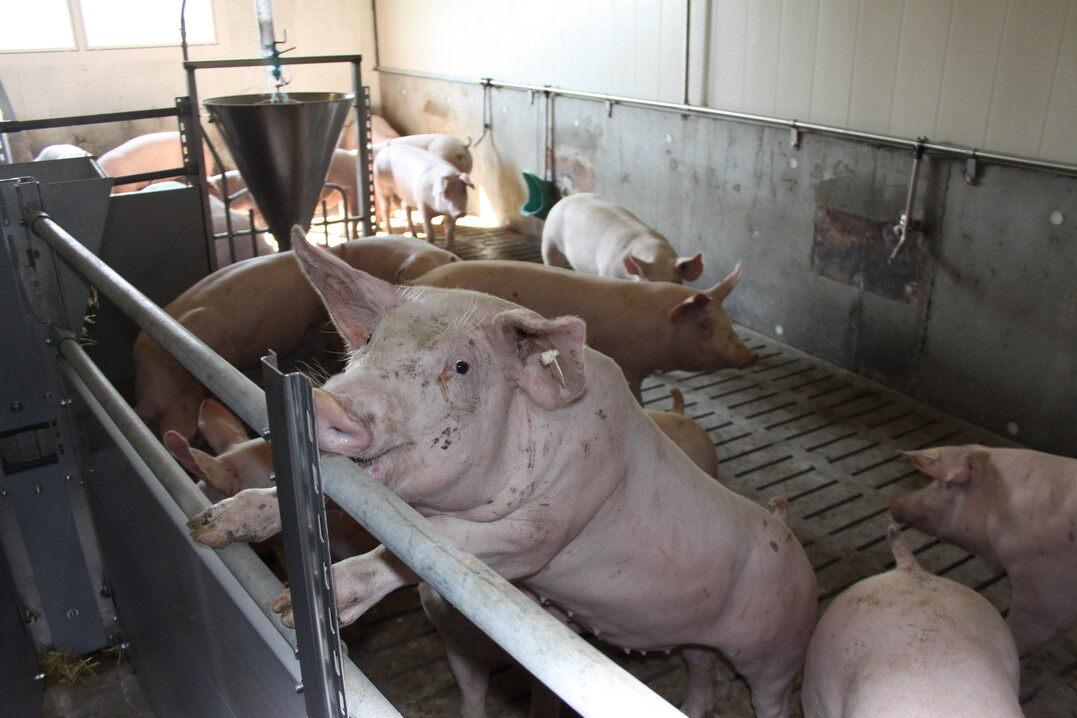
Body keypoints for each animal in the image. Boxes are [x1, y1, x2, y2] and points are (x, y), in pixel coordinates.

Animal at [410, 259, 757, 400]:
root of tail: (416, 281)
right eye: (704, 324)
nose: (750, 356)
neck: (658, 325)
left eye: (726, 319)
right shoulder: (632, 365)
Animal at [541, 193, 704, 283]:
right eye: (648, 282)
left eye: (676, 281)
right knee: (551, 258)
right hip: (549, 238)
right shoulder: (607, 271)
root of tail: (566, 198)